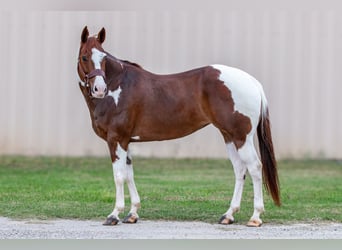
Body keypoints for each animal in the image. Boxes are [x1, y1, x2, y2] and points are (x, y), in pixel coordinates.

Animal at [77, 26, 280, 228]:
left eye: (103, 58)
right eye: (84, 57)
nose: (99, 89)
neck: (119, 86)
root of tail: (252, 81)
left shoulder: (116, 139)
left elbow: (119, 176)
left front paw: (114, 215)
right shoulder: (126, 141)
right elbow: (129, 174)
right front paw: (132, 213)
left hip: (241, 137)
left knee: (254, 167)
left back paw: (255, 217)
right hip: (229, 136)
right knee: (239, 169)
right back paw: (228, 215)